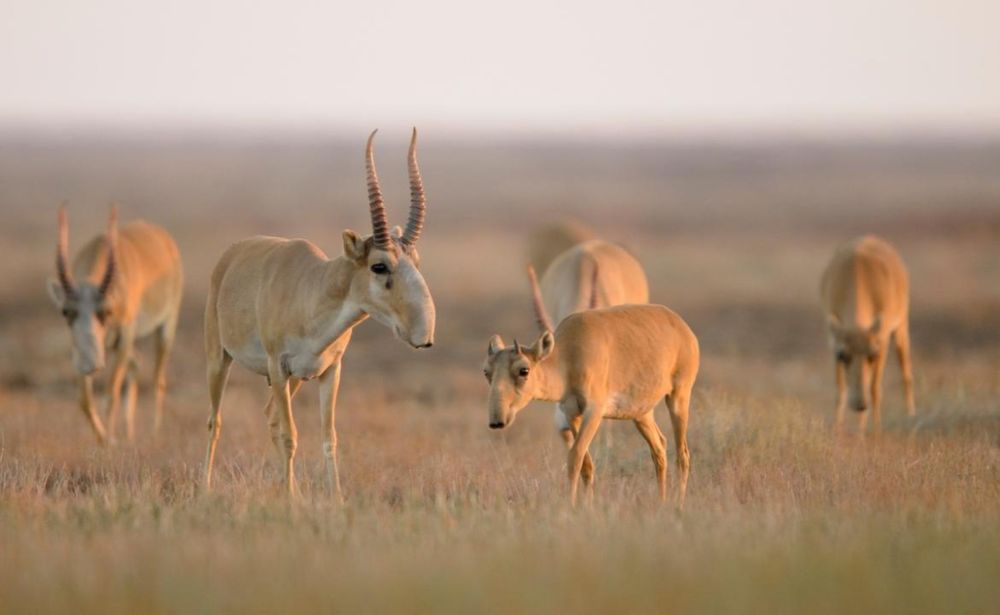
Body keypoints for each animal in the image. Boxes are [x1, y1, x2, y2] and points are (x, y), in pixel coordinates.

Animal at [47, 206, 184, 442]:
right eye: (66, 311)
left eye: (106, 311)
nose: (91, 364)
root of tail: (163, 238)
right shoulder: (79, 348)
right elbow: (84, 400)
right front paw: (104, 440)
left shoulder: (125, 336)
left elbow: (111, 394)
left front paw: (111, 441)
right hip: (112, 345)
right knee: (137, 364)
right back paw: (130, 435)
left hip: (165, 328)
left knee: (158, 379)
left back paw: (154, 434)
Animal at [203, 129, 434, 496]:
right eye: (379, 265)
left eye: (416, 261)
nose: (423, 334)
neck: (313, 291)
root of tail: (231, 254)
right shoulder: (278, 367)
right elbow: (290, 435)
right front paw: (291, 500)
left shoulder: (329, 372)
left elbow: (329, 438)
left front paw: (334, 498)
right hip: (220, 359)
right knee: (216, 420)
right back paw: (205, 487)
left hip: (294, 379)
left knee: (269, 415)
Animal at [482, 282, 700, 508]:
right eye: (486, 371)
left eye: (523, 370)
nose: (497, 421)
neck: (568, 356)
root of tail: (682, 326)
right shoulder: (571, 413)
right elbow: (586, 464)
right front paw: (587, 505)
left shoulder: (594, 412)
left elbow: (575, 457)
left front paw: (571, 505)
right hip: (641, 414)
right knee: (659, 448)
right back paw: (661, 500)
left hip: (678, 397)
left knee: (682, 454)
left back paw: (678, 503)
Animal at [820, 236, 916, 434]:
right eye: (842, 355)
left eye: (873, 354)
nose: (860, 404)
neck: (858, 274)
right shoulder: (833, 341)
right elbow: (840, 389)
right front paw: (837, 430)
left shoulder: (882, 341)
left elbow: (874, 389)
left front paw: (875, 430)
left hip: (901, 327)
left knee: (906, 373)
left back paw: (911, 416)